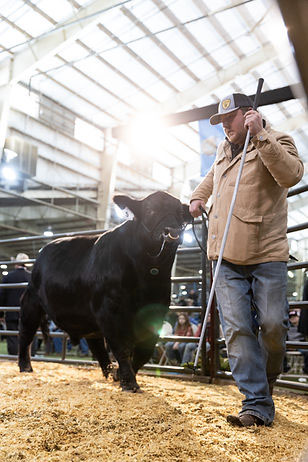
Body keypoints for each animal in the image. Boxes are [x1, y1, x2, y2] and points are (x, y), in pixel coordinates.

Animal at [18, 190, 192, 390]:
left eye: (180, 212)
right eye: (150, 210)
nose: (173, 232)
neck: (147, 273)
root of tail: (41, 253)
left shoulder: (156, 312)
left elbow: (144, 351)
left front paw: (121, 375)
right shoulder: (110, 312)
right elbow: (122, 347)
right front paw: (129, 382)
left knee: (96, 344)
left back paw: (108, 371)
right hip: (31, 304)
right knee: (26, 334)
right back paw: (25, 367)